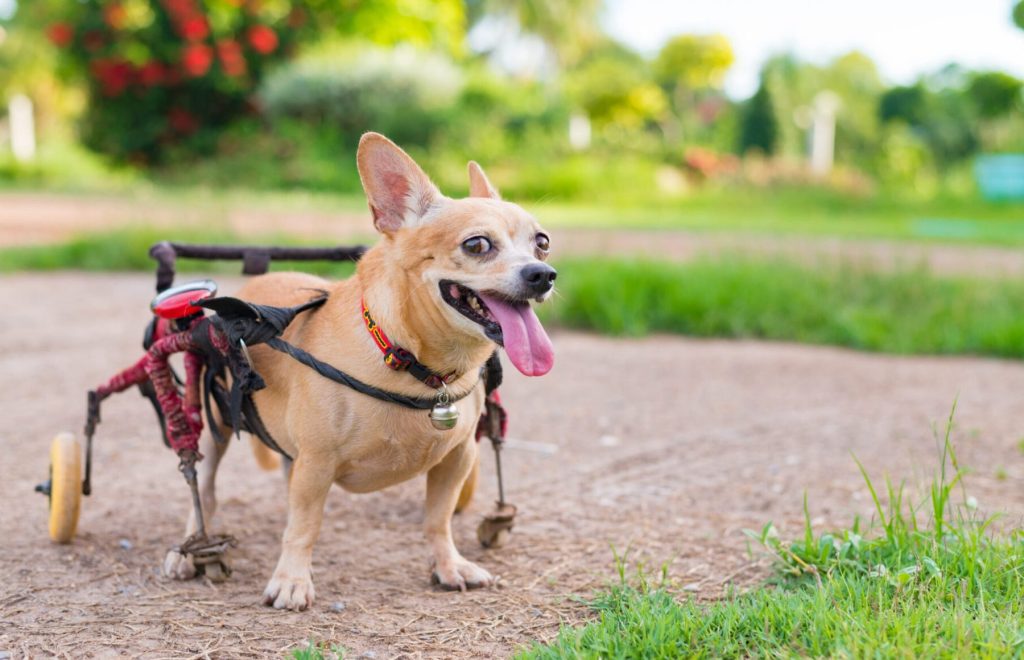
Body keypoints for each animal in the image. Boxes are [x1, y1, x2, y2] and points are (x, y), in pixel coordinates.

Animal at [162, 130, 557, 609]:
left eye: (542, 242)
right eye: (477, 245)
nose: (544, 273)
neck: (417, 365)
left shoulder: (456, 459)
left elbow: (438, 519)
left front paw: (448, 566)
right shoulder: (317, 463)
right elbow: (304, 526)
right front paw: (292, 580)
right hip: (216, 428)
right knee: (204, 490)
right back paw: (188, 550)